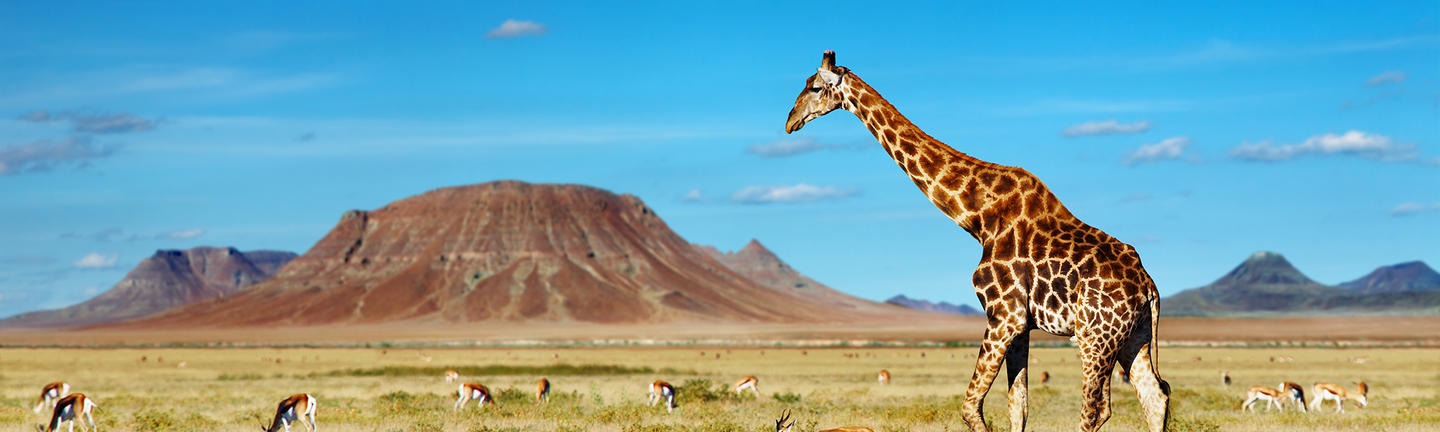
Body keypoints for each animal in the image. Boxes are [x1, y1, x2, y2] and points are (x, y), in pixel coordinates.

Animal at [784, 51, 1170, 432]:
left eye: (815, 87)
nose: (790, 121)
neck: (978, 217)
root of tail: (1148, 286)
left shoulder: (1003, 315)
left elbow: (971, 407)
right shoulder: (1020, 324)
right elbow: (1018, 406)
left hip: (1094, 337)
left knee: (1095, 410)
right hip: (1132, 337)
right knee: (1155, 396)